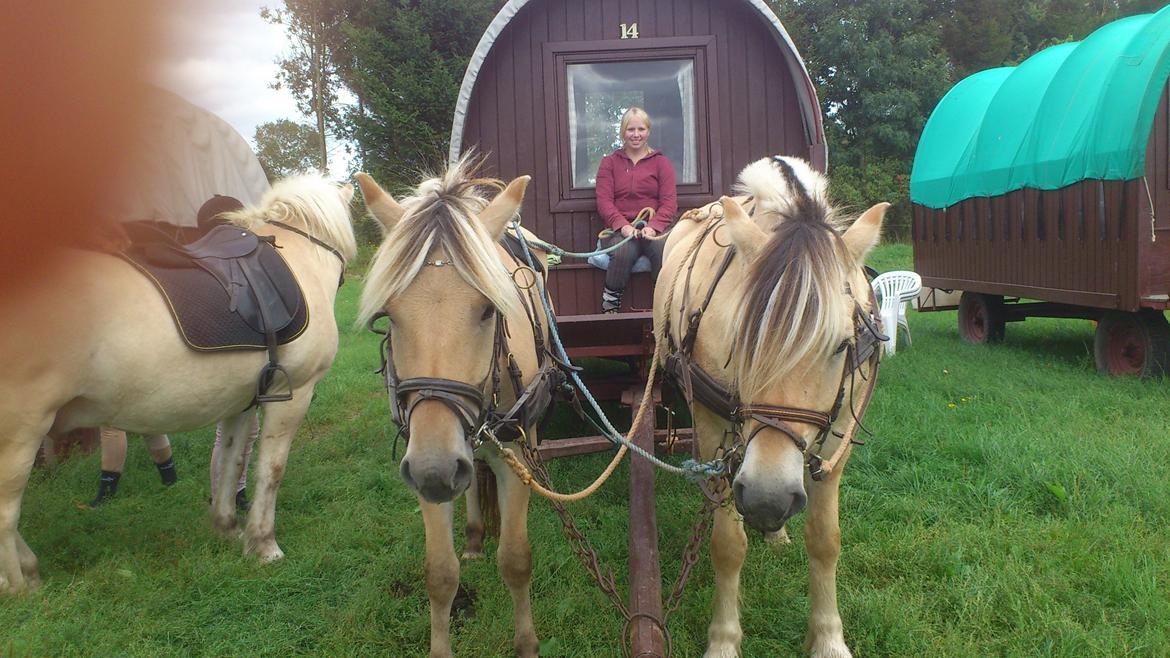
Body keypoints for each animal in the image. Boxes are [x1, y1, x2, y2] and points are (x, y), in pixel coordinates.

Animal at [0, 173, 355, 590]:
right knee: (6, 514)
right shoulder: (294, 393)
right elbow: (271, 470)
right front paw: (264, 545)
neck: (300, 261)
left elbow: (231, 460)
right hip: (21, 433)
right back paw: (20, 586)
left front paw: (227, 528)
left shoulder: (242, 401)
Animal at [355, 160, 556, 655]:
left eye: (487, 309)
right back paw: (474, 535)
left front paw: (527, 643)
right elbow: (441, 573)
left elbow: (516, 559)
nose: (437, 468)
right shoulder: (424, 458)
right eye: (389, 315)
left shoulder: (511, 454)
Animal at [650, 158, 884, 655]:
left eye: (842, 346)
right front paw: (723, 639)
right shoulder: (714, 429)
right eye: (741, 337)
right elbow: (727, 544)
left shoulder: (837, 437)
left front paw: (828, 638)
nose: (767, 498)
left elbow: (826, 540)